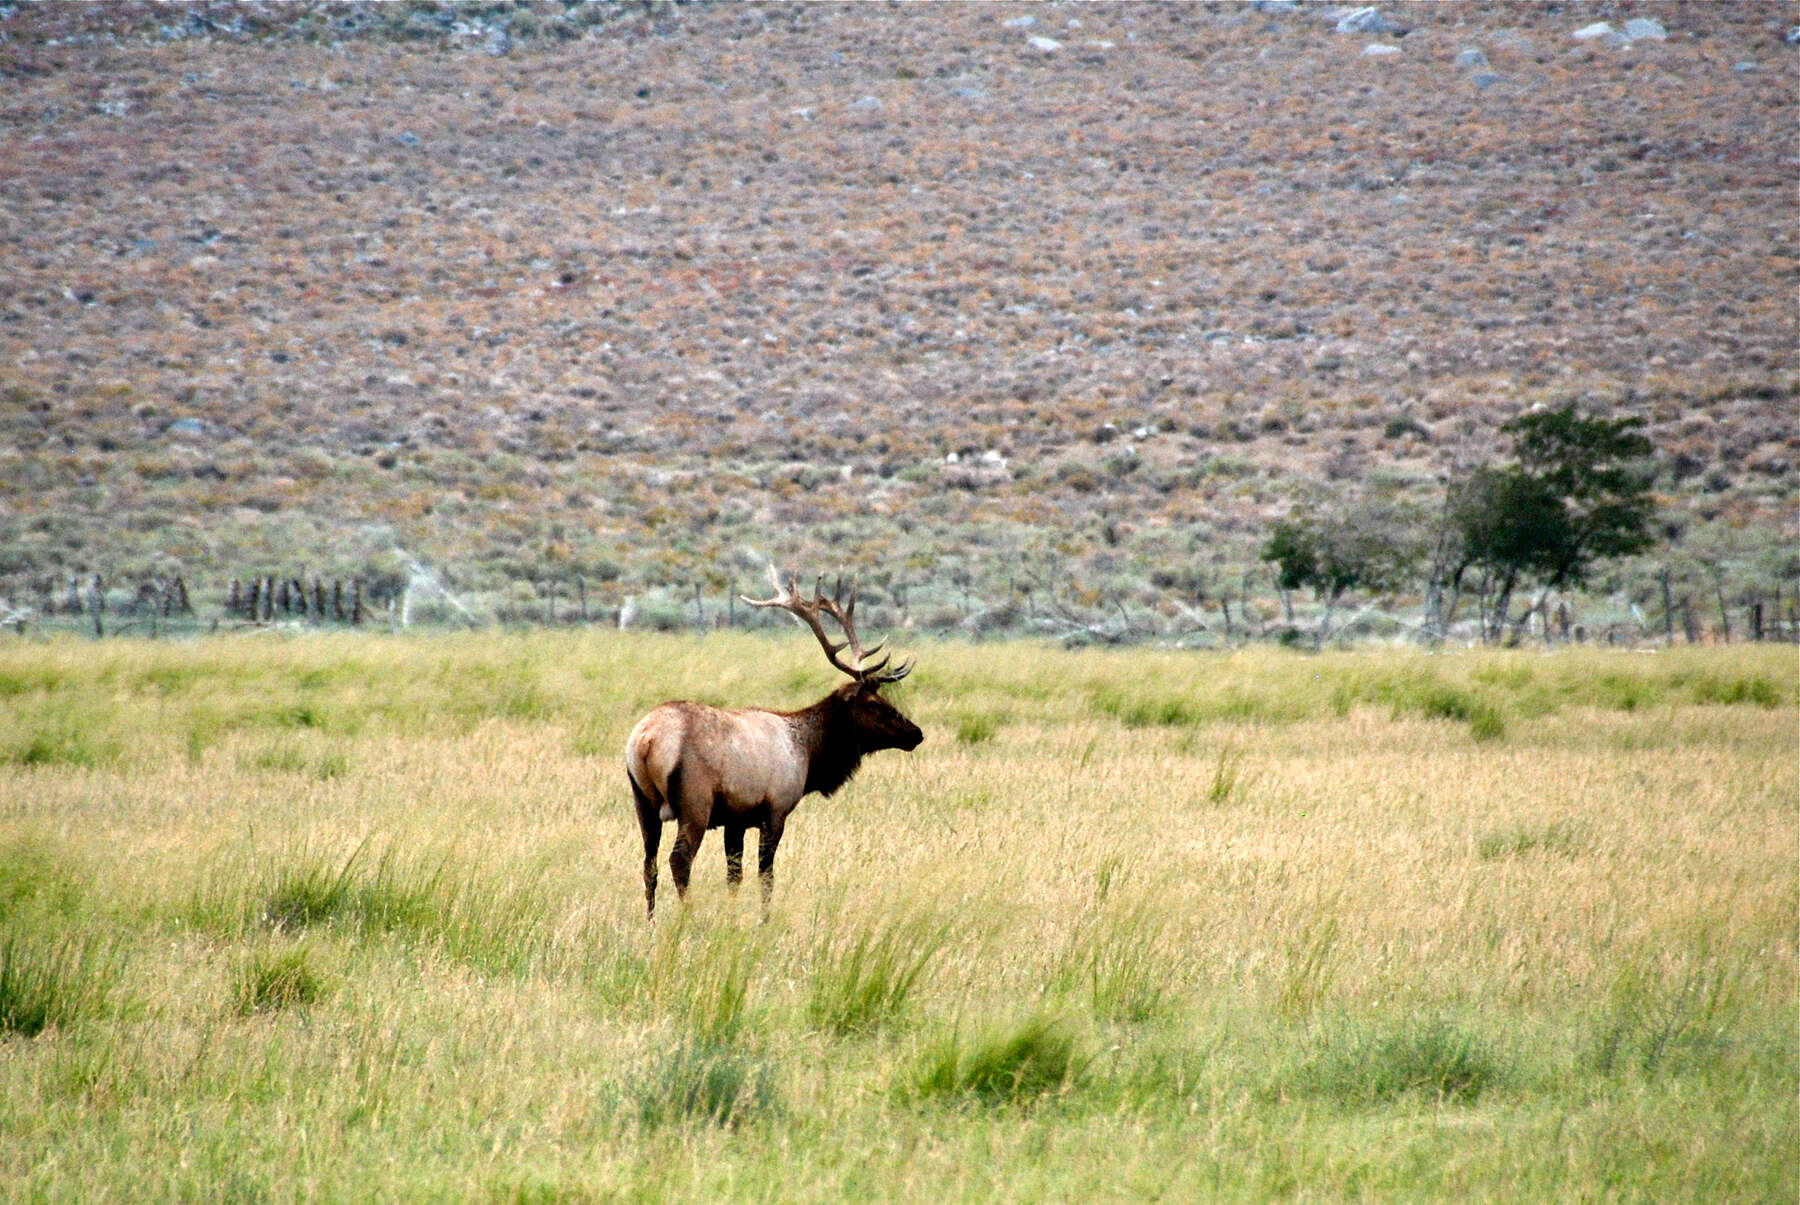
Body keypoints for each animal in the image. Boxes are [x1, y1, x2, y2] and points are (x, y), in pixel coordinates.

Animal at [626, 569, 921, 915]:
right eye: (874, 703)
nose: (916, 733)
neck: (809, 754)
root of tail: (646, 740)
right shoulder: (775, 808)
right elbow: (765, 876)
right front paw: (764, 920)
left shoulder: (736, 818)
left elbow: (734, 876)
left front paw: (732, 917)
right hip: (694, 801)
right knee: (679, 860)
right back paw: (688, 916)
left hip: (642, 802)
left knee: (649, 863)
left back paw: (651, 920)